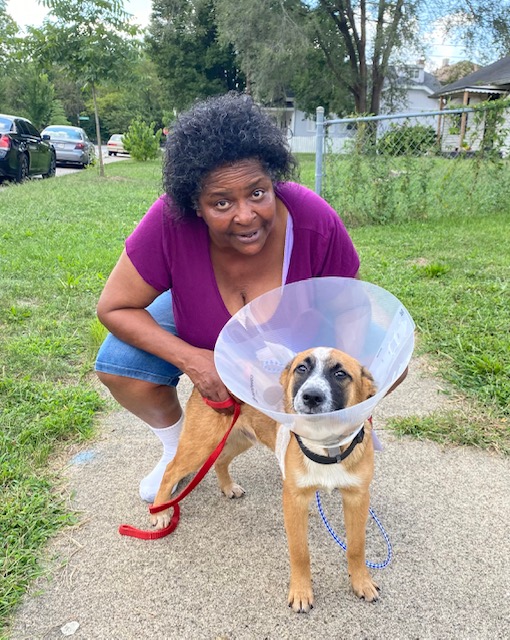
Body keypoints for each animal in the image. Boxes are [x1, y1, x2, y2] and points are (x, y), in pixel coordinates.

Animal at [151, 348, 378, 612]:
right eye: (301, 368)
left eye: (340, 374)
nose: (311, 397)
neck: (327, 447)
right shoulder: (294, 500)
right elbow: (300, 552)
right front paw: (301, 592)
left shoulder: (357, 497)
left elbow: (357, 546)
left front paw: (361, 582)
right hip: (200, 445)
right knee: (171, 470)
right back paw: (160, 511)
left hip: (241, 438)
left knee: (220, 461)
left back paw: (228, 487)